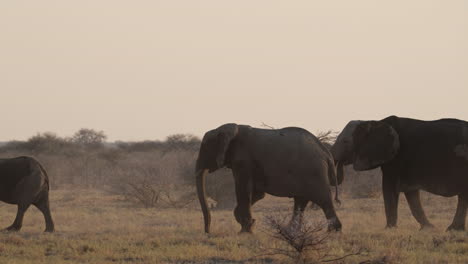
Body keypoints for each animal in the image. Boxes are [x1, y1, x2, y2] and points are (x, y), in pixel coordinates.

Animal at [194, 124, 340, 233]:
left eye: (205, 148)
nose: (208, 232)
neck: (232, 129)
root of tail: (327, 153)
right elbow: (258, 194)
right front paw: (247, 225)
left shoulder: (243, 161)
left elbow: (243, 190)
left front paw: (245, 230)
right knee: (300, 202)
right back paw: (291, 232)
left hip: (314, 172)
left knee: (323, 200)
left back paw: (333, 232)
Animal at [330, 115, 468, 231]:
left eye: (345, 142)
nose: (338, 201)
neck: (374, 122)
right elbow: (411, 195)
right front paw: (428, 228)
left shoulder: (396, 159)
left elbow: (389, 189)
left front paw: (389, 229)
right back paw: (454, 230)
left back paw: (453, 230)